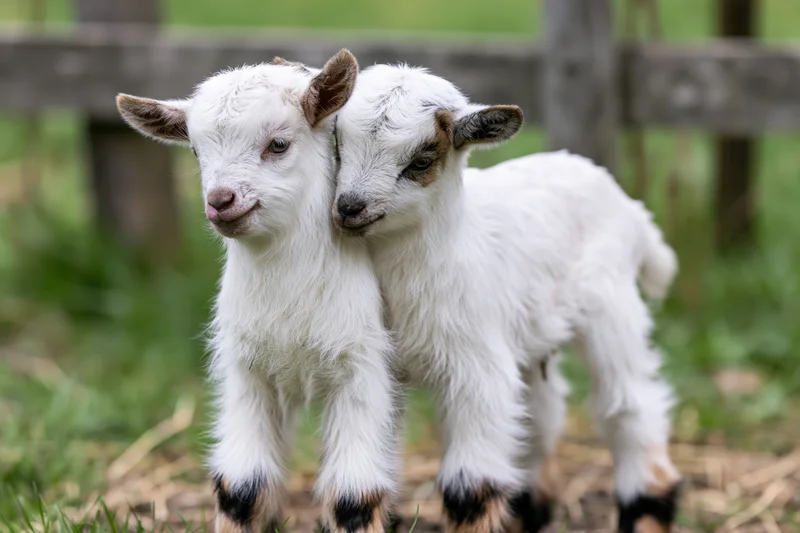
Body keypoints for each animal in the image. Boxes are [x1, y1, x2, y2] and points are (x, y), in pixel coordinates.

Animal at [116, 51, 399, 533]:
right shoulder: (247, 370)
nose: (220, 200)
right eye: (195, 150)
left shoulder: (361, 366)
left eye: (278, 144)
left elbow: (353, 497)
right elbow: (242, 488)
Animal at [331, 63, 681, 533]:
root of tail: (631, 207)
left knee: (629, 404)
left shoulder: (478, 368)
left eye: (421, 160)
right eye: (336, 143)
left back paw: (645, 504)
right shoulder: (380, 368)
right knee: (539, 414)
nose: (349, 207)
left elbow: (469, 490)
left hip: (612, 308)